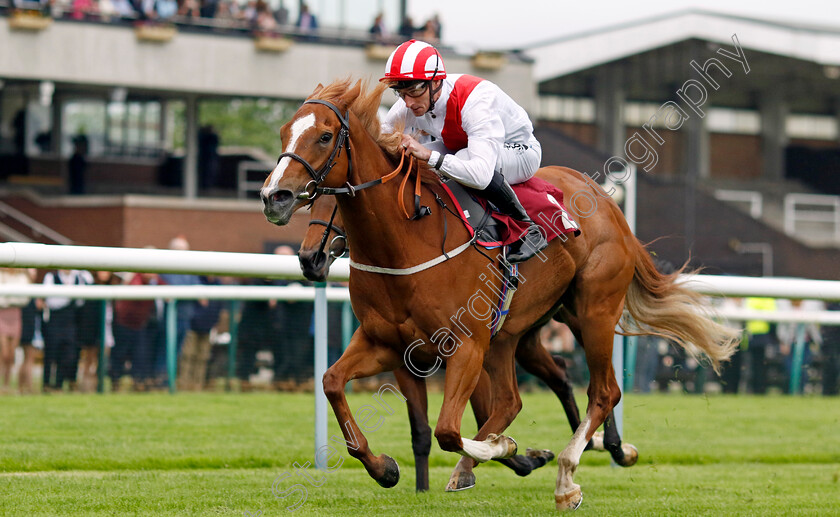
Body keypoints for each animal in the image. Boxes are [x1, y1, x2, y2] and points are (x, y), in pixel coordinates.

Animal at [300, 185, 636, 492]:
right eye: (312, 200)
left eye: (339, 206)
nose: (310, 258)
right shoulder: (399, 357)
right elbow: (419, 429)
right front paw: (407, 479)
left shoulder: (470, 350)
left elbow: (473, 418)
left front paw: (517, 457)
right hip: (521, 337)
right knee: (557, 377)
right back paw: (593, 442)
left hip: (586, 313)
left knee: (600, 383)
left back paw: (611, 445)